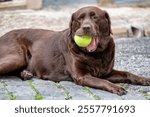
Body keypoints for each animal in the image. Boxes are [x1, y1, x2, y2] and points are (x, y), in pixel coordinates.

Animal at [0, 6, 149, 95]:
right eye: (80, 18)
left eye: (95, 17)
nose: (86, 27)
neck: (96, 54)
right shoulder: (82, 76)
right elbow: (103, 82)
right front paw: (116, 87)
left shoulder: (106, 72)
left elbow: (127, 73)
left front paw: (144, 79)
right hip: (17, 58)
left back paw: (25, 74)